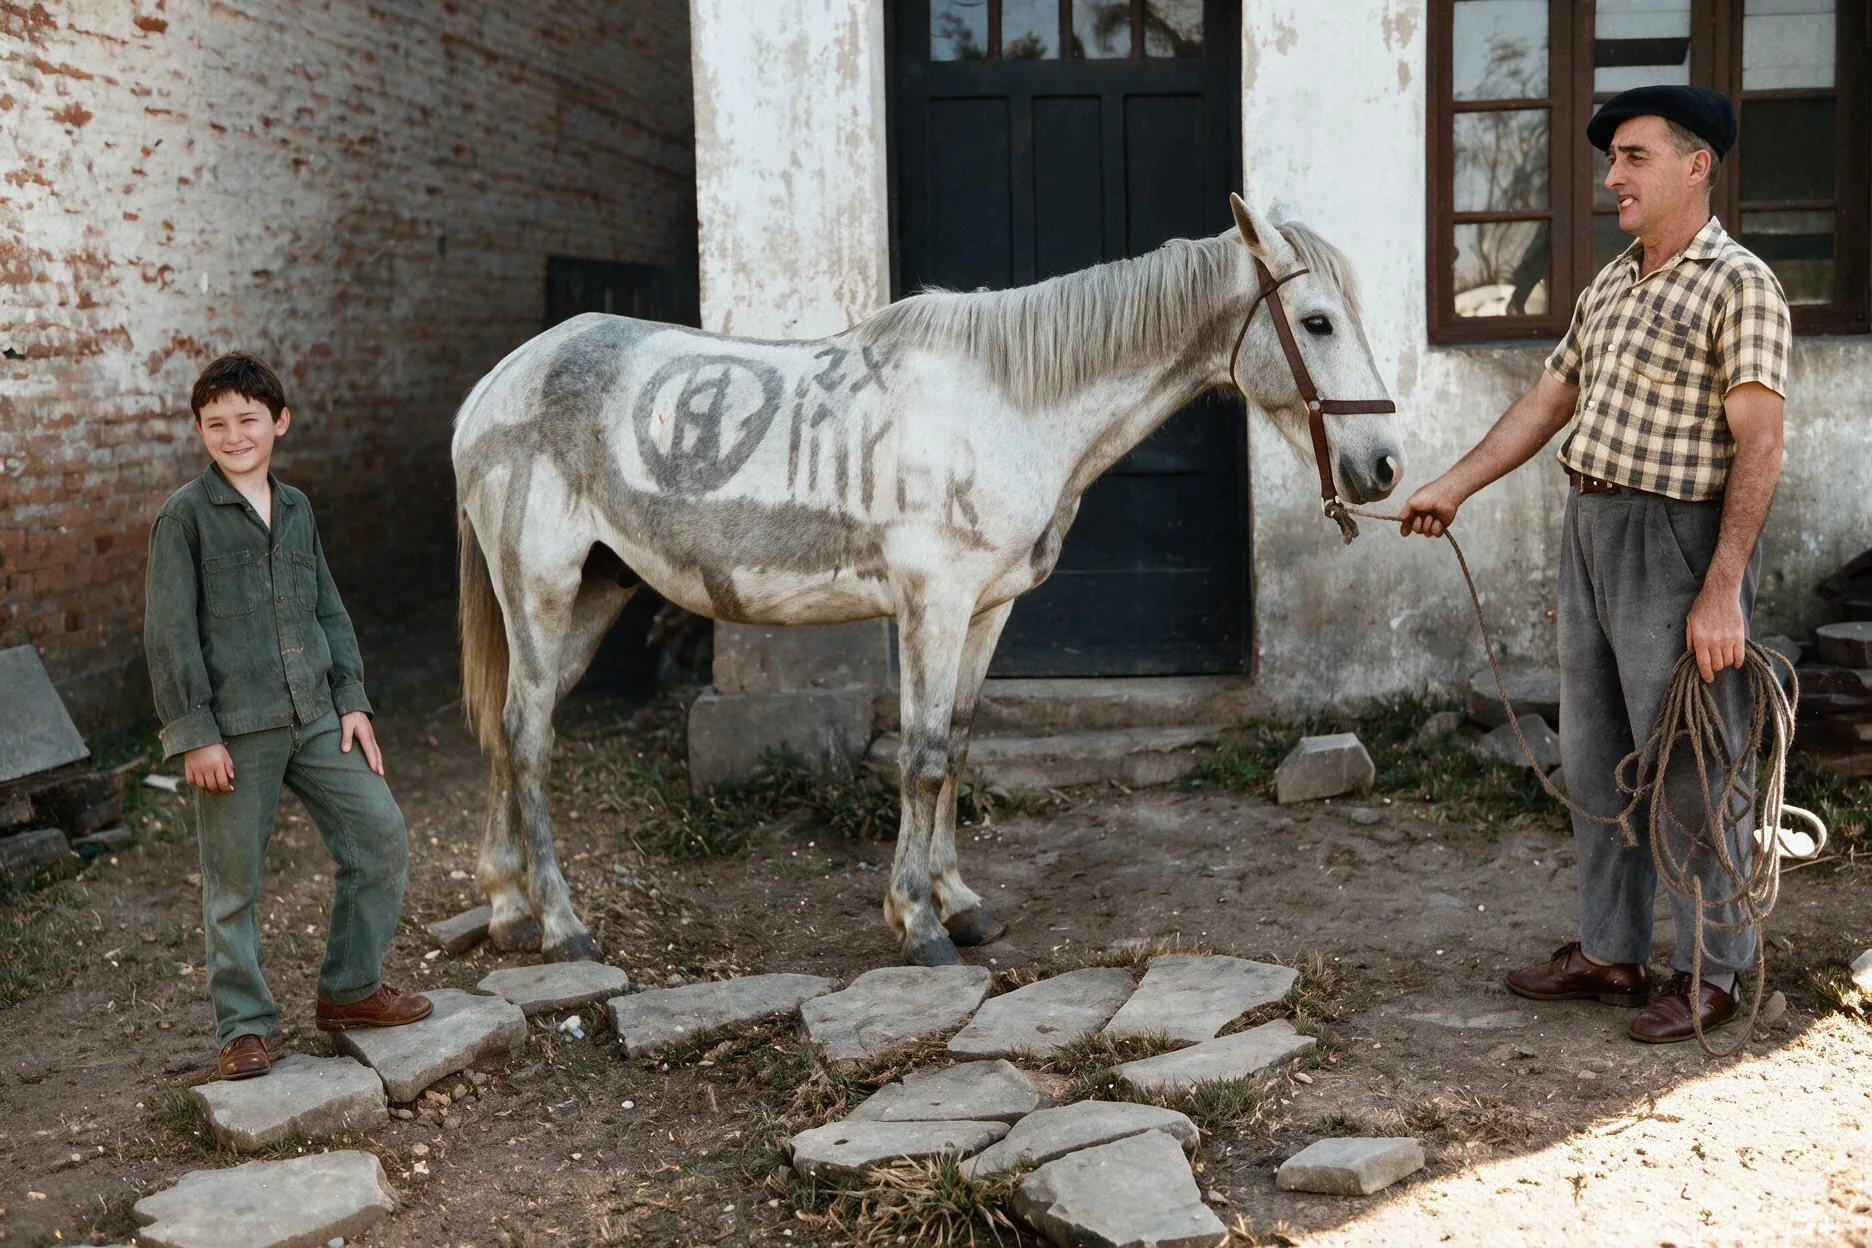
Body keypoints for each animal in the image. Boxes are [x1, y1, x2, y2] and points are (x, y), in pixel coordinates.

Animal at [452, 191, 1403, 967]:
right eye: (1318, 323)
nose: (1385, 466)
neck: (1008, 409)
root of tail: (497, 384)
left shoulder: (986, 609)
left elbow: (960, 746)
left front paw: (960, 904)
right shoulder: (933, 604)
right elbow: (921, 755)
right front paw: (917, 924)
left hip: (593, 594)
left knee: (511, 729)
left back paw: (507, 910)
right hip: (540, 587)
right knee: (528, 736)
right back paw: (563, 927)